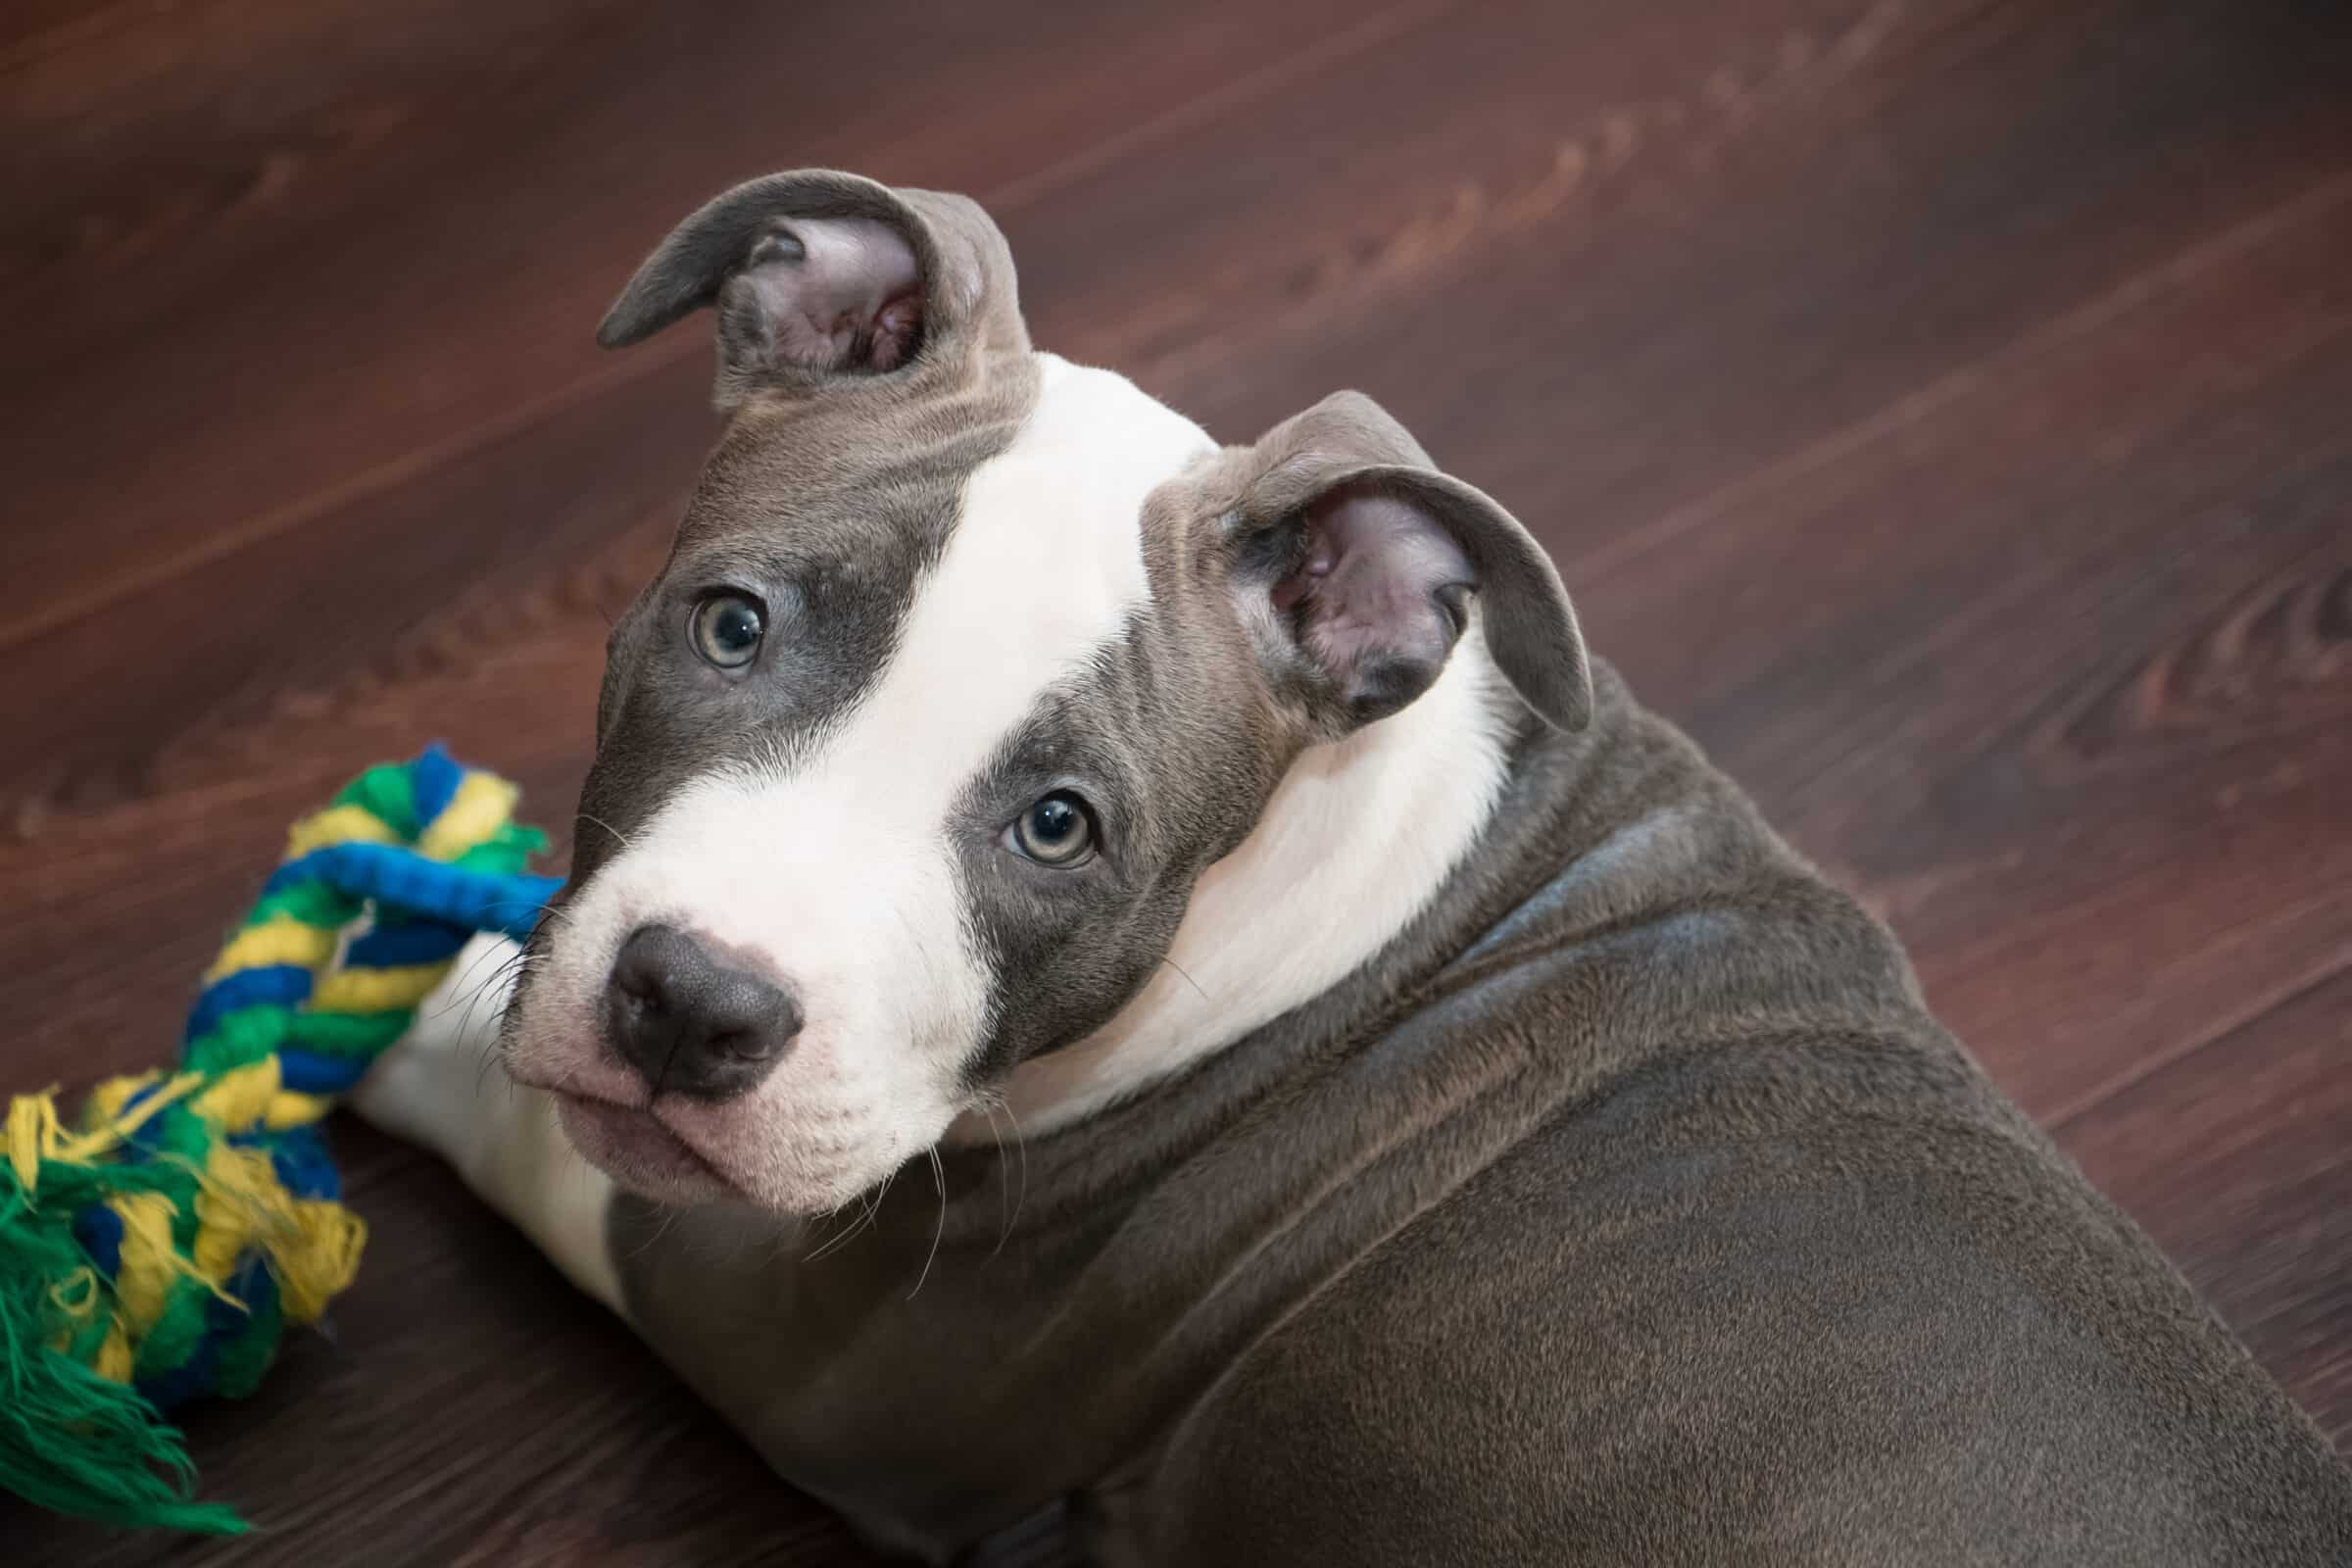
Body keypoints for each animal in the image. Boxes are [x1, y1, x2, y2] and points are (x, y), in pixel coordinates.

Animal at [348, 166, 2352, 1560]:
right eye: (735, 626)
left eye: (1060, 828)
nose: (691, 1008)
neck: (1349, 877)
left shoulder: (828, 1357)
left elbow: (537, 1136)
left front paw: (398, 985)